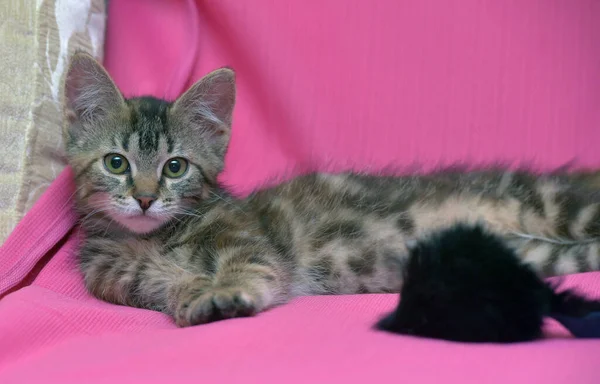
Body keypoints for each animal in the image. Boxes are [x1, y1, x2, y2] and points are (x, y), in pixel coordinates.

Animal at [64, 51, 600, 328]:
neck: (152, 239)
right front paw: (195, 294)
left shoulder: (254, 244)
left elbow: (250, 266)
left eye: (175, 167)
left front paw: (227, 291)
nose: (145, 198)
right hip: (534, 252)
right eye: (116, 163)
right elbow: (171, 283)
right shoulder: (124, 279)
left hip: (558, 206)